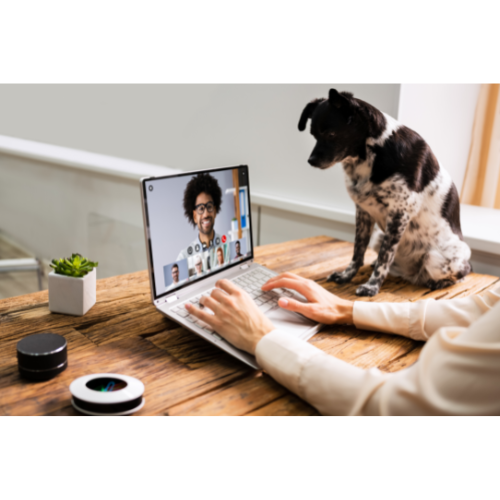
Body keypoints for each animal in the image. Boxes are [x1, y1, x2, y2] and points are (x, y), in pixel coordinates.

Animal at [298, 89, 470, 296]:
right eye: (313, 134)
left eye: (331, 134)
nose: (311, 161)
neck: (371, 155)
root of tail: (412, 274)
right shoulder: (363, 212)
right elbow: (358, 251)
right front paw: (346, 276)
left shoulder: (399, 215)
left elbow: (384, 257)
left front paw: (372, 286)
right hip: (379, 236)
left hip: (437, 259)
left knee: (461, 275)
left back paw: (439, 282)